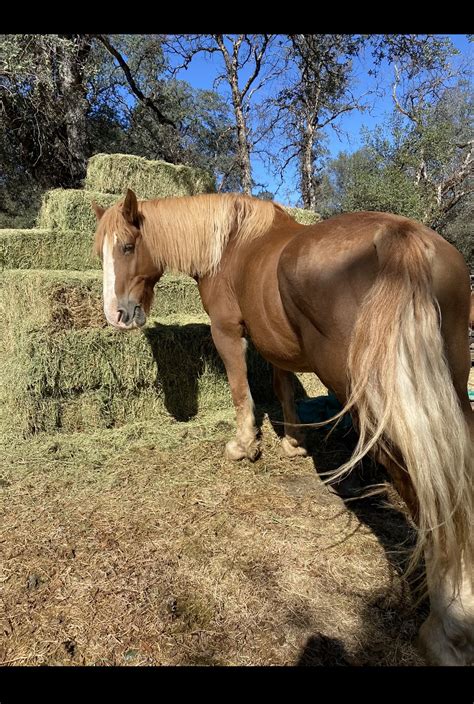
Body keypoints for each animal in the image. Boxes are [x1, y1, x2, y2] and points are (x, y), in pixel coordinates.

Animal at [92, 188, 473, 666]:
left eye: (127, 247)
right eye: (99, 252)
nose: (116, 315)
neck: (231, 243)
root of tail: (399, 238)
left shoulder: (228, 331)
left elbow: (242, 390)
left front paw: (244, 446)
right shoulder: (273, 341)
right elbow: (283, 386)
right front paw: (292, 442)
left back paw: (445, 627)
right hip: (450, 385)